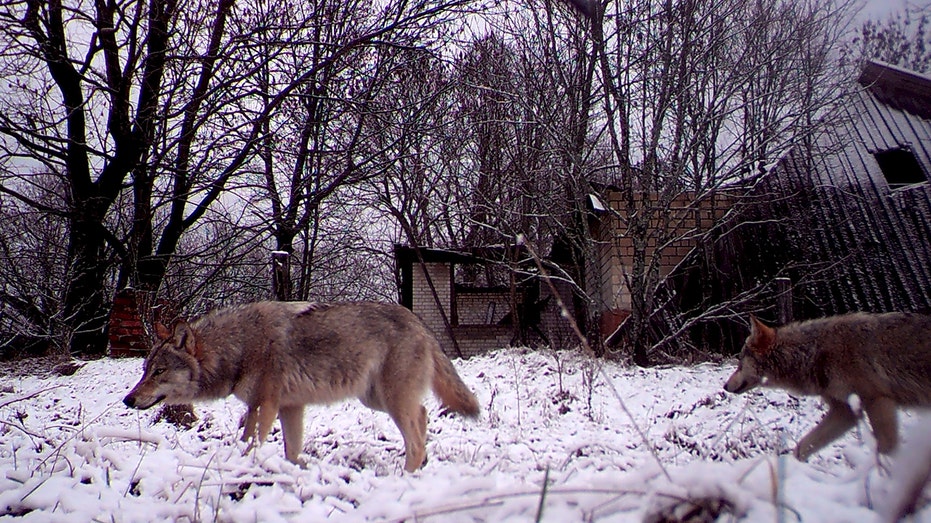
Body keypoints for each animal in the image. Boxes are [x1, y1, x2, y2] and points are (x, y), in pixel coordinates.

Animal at [124, 300, 480, 472]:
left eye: (159, 372)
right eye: (145, 370)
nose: (128, 399)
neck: (239, 347)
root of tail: (420, 323)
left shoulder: (264, 406)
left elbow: (251, 443)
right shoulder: (289, 407)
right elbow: (291, 451)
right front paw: (296, 470)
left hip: (390, 401)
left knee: (416, 435)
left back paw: (406, 477)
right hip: (376, 400)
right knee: (423, 415)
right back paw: (423, 465)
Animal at [728, 314, 931, 460]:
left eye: (740, 362)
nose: (725, 386)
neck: (813, 353)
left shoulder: (878, 401)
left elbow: (886, 448)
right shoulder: (845, 412)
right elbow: (802, 446)